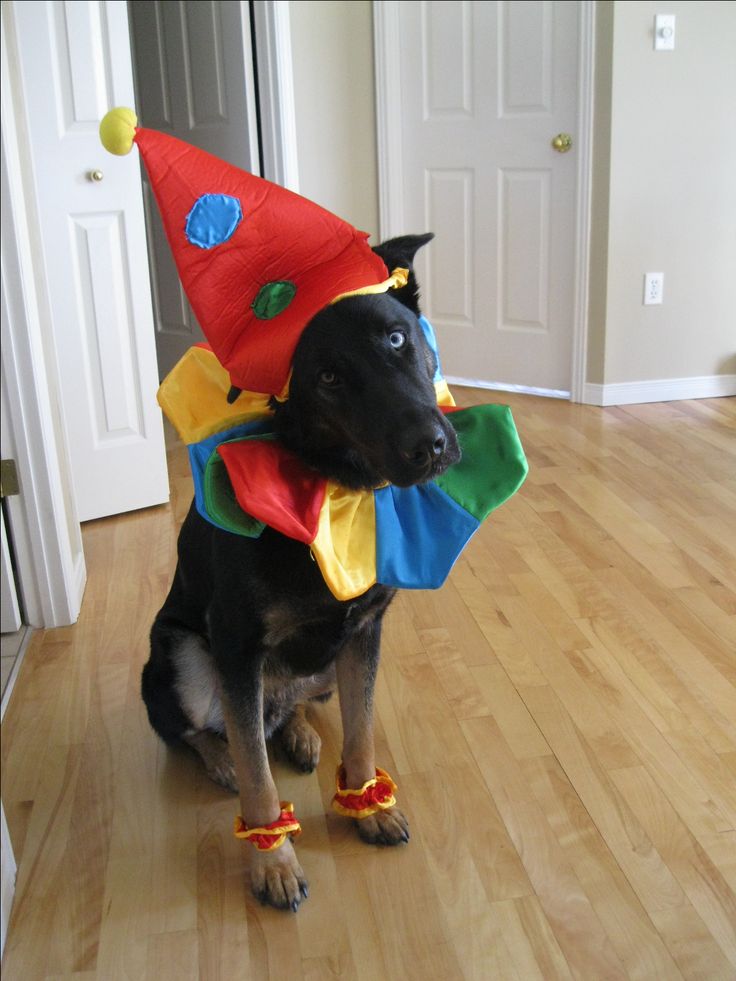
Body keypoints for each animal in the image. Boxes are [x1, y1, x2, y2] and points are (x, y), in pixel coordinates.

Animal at [141, 234, 458, 908]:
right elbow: (259, 782)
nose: (430, 447)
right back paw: (224, 755)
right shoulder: (236, 647)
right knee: (195, 728)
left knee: (291, 706)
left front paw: (368, 806)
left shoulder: (363, 633)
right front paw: (273, 861)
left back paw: (299, 732)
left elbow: (361, 733)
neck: (333, 488)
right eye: (328, 378)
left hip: (322, 669)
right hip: (180, 652)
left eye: (397, 338)